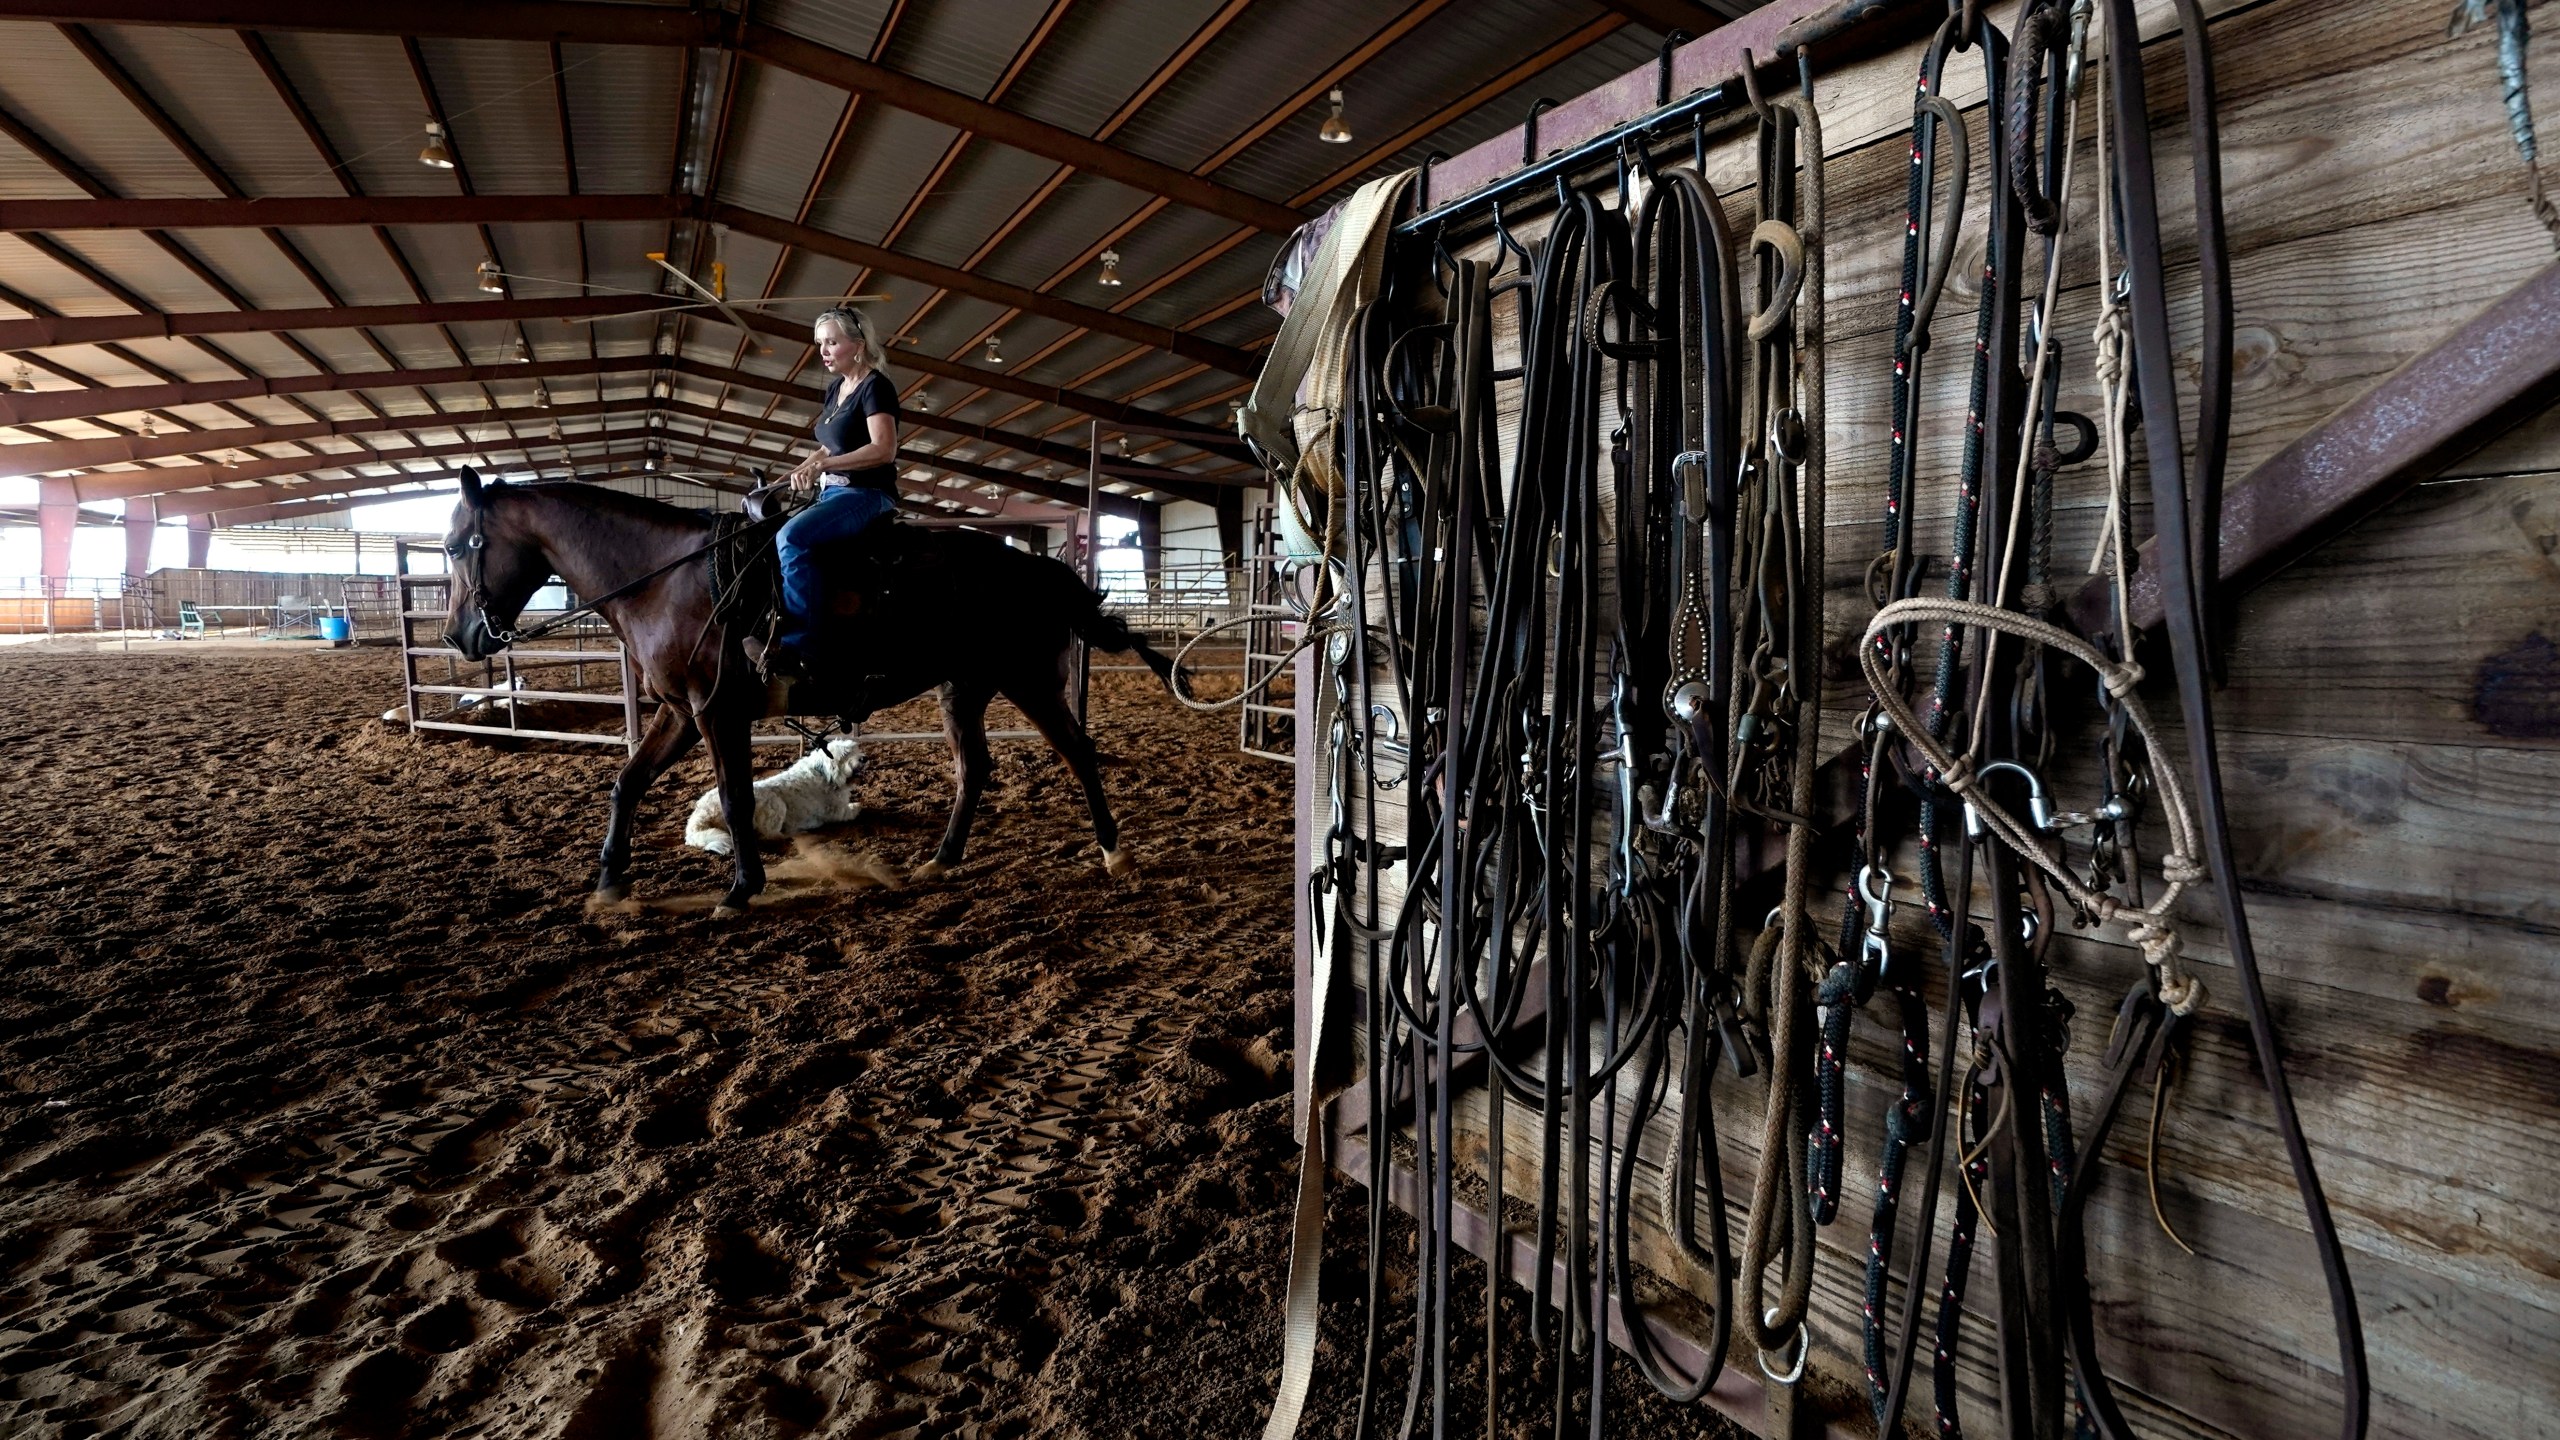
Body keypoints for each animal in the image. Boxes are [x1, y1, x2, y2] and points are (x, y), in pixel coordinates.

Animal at [686, 732, 865, 845]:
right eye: (845, 754)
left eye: (855, 749)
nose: (864, 758)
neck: (824, 774)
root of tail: (701, 812)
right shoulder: (836, 810)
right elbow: (853, 809)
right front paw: (857, 806)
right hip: (775, 803)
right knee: (770, 835)